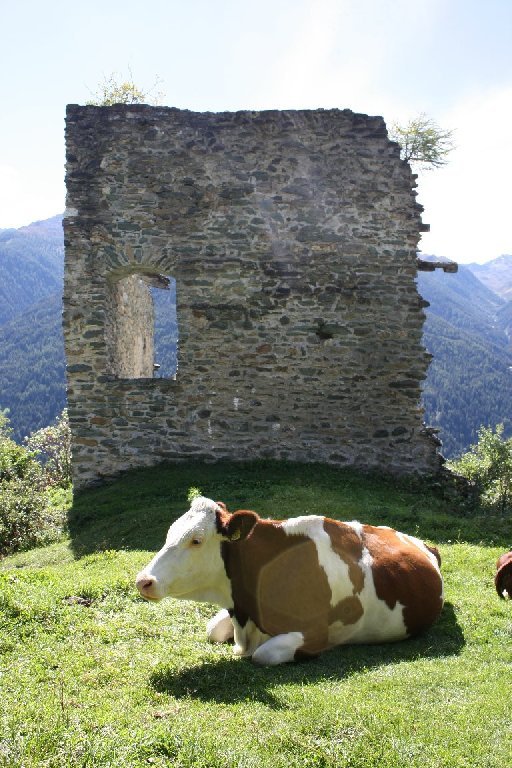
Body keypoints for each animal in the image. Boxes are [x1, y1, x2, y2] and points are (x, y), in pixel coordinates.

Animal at [136, 496, 444, 664]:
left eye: (196, 540)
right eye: (169, 533)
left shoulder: (314, 632)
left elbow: (264, 655)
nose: (143, 581)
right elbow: (212, 629)